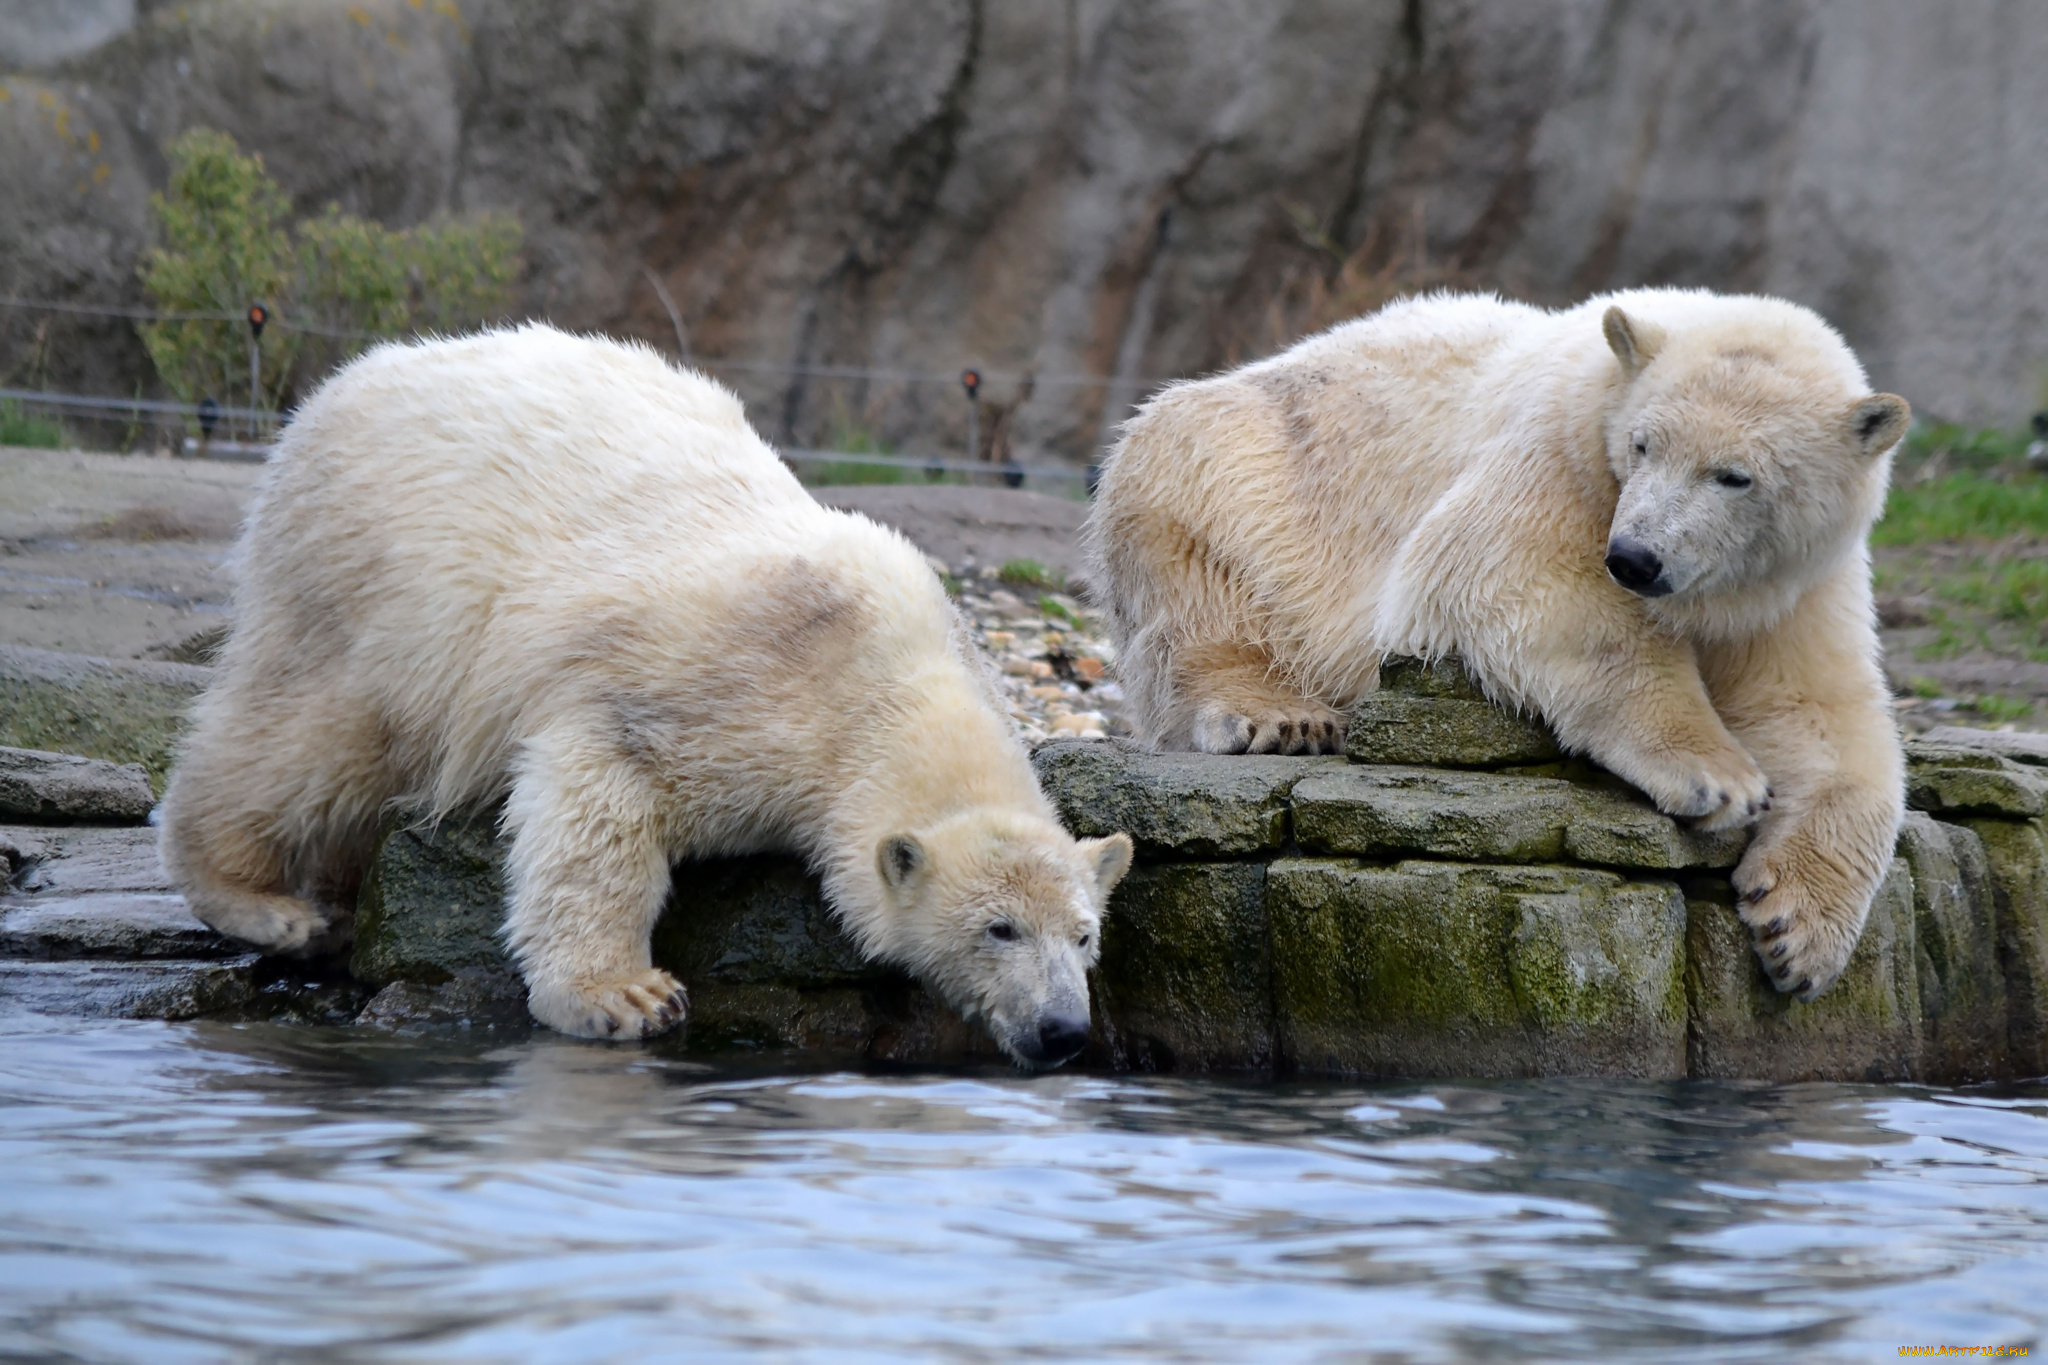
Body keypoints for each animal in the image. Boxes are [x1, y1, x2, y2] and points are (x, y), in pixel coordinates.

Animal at [159, 323, 1138, 1064]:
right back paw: (269, 905)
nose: (1062, 1030)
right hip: (382, 582)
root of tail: (340, 386)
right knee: (313, 735)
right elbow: (599, 798)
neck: (888, 672)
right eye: (999, 930)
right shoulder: (718, 688)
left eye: (1084, 934)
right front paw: (623, 994)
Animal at [1097, 286, 1908, 1002]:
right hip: (1247, 475)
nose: (1635, 559)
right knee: (1203, 582)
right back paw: (1280, 715)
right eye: (1644, 444)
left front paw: (1798, 934)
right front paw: (1718, 776)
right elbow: (1516, 576)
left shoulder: (1793, 583)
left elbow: (1812, 711)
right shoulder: (1560, 451)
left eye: (1734, 476)